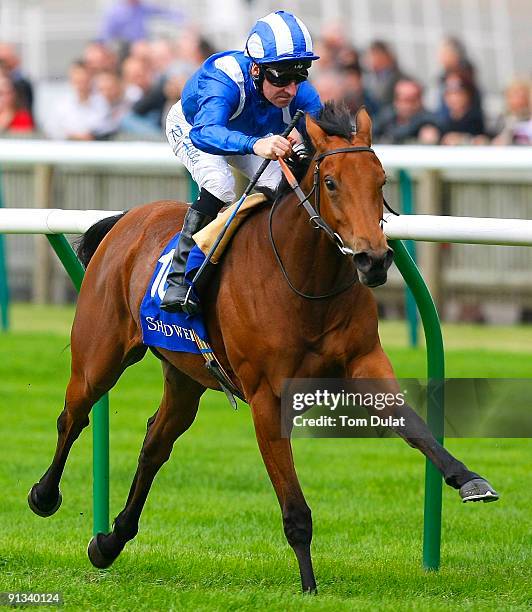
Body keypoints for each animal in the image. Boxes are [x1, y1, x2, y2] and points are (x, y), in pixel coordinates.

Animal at [27, 105, 496, 592]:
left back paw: (109, 542)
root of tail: (127, 219)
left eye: (381, 180)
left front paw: (469, 479)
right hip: (99, 357)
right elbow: (294, 507)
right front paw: (309, 586)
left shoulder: (364, 361)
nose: (374, 259)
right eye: (331, 183)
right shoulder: (267, 396)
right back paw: (44, 495)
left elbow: (415, 426)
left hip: (186, 376)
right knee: (73, 417)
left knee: (155, 442)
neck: (305, 281)